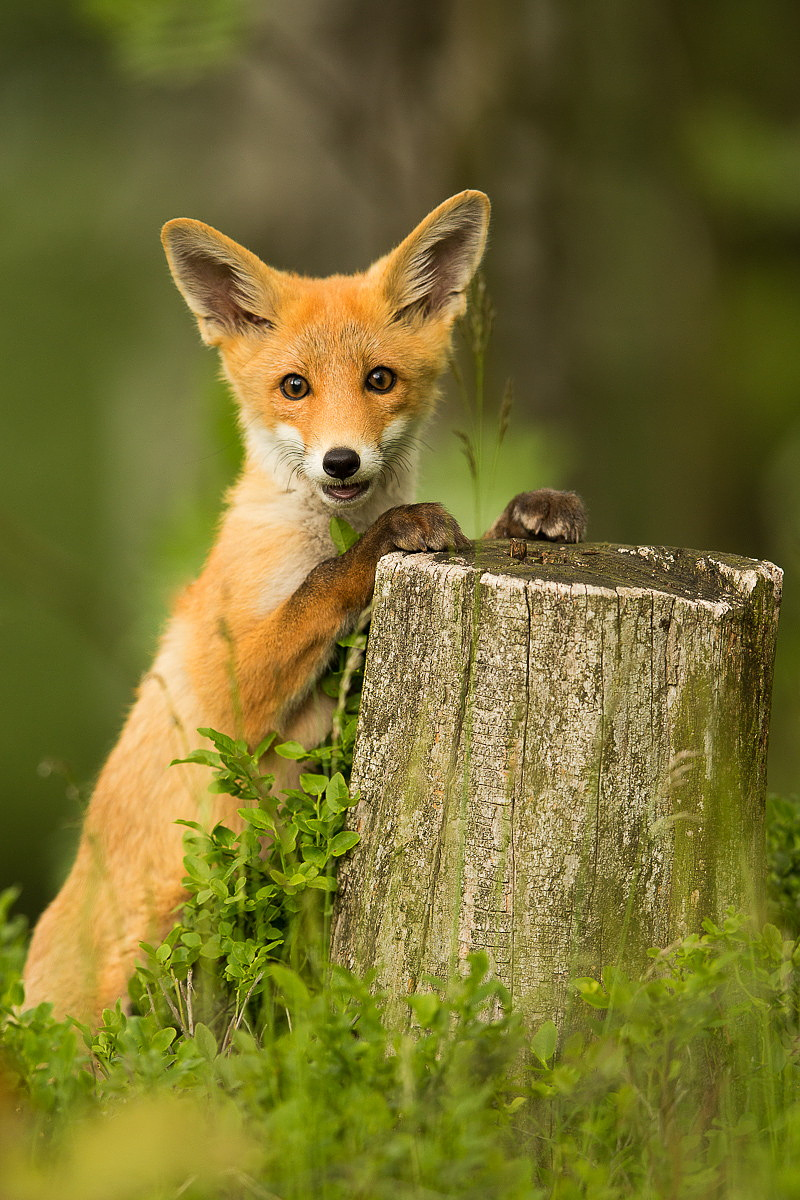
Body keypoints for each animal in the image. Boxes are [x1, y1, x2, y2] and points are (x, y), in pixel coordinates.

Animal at [23, 189, 587, 1022]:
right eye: (295, 387)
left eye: (380, 379)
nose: (341, 462)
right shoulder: (230, 694)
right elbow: (322, 587)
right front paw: (384, 539)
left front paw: (530, 514)